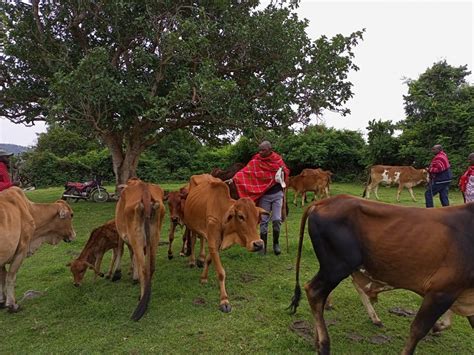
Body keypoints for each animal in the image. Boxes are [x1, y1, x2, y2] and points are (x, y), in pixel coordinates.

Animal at [111, 179, 165, 322]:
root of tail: (144, 189)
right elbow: (133, 255)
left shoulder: (121, 233)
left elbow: (121, 249)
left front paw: (117, 273)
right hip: (154, 236)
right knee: (151, 267)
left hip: (137, 237)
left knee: (143, 269)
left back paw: (141, 299)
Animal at [183, 176, 268, 314]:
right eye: (240, 216)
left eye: (257, 218)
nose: (259, 244)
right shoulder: (213, 241)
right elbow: (221, 273)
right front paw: (224, 301)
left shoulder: (216, 243)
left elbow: (209, 259)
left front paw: (203, 277)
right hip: (191, 225)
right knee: (194, 239)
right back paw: (192, 261)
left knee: (202, 239)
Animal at [288, 196, 474, 354]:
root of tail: (322, 202)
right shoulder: (441, 291)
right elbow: (418, 330)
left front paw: (439, 326)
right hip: (337, 267)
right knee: (314, 292)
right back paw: (324, 345)